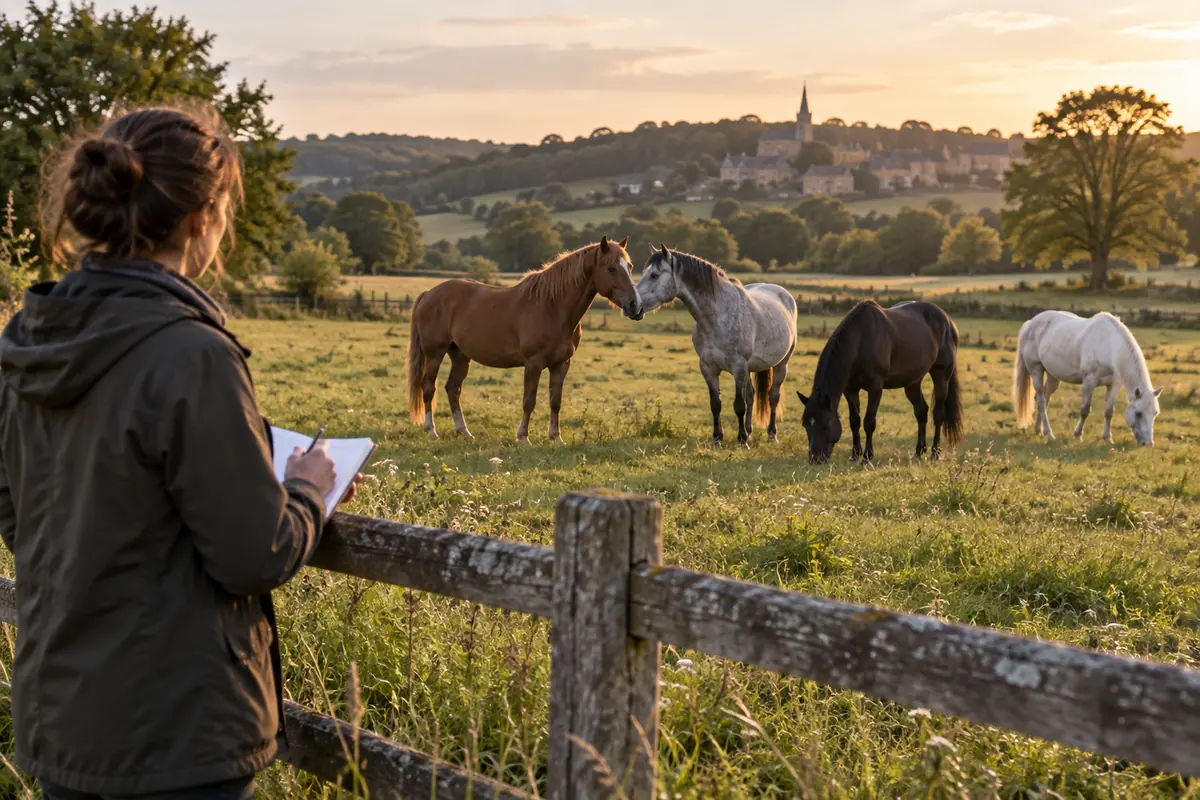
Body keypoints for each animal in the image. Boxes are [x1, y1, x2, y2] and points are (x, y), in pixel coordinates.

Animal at [406, 236, 643, 444]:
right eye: (611, 268)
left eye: (630, 267)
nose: (635, 306)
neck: (552, 307)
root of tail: (428, 293)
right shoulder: (533, 363)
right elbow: (529, 400)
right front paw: (523, 437)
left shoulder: (561, 364)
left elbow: (555, 401)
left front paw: (556, 438)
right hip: (435, 353)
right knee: (428, 387)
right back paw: (431, 430)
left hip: (460, 356)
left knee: (453, 389)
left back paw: (464, 432)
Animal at [636, 245, 797, 447]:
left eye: (654, 275)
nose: (633, 305)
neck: (717, 318)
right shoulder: (708, 367)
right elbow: (716, 404)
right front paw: (717, 438)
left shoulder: (738, 366)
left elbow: (738, 405)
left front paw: (742, 441)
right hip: (750, 368)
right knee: (751, 396)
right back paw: (749, 430)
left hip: (781, 364)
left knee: (773, 396)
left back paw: (771, 435)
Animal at [796, 300, 964, 464]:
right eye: (805, 425)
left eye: (825, 425)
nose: (815, 459)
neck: (861, 340)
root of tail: (948, 321)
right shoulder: (850, 389)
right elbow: (854, 421)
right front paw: (855, 455)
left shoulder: (875, 386)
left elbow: (869, 421)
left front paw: (867, 457)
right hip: (912, 382)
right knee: (921, 411)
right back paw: (918, 453)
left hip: (941, 376)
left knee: (938, 414)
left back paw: (935, 453)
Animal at [1013, 310, 1161, 446]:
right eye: (1138, 413)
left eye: (1155, 413)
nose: (1148, 443)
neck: (1109, 346)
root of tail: (1030, 323)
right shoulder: (1089, 381)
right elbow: (1085, 410)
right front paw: (1078, 435)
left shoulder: (1114, 384)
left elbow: (1109, 412)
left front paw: (1107, 438)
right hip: (1036, 370)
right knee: (1041, 401)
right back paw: (1049, 433)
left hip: (1053, 376)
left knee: (1044, 398)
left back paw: (1039, 430)